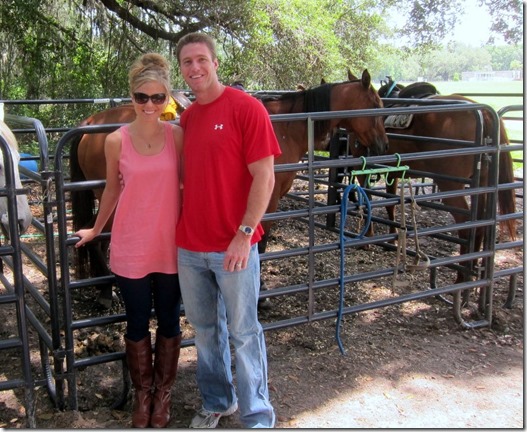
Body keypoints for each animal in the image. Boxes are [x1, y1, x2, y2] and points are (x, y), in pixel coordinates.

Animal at [350, 74, 516, 284]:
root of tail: (484, 114)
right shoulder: (393, 172)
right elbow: (390, 204)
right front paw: (392, 237)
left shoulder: (362, 167)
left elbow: (368, 200)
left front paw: (367, 238)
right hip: (483, 184)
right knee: (481, 225)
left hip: (451, 185)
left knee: (467, 225)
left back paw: (462, 278)